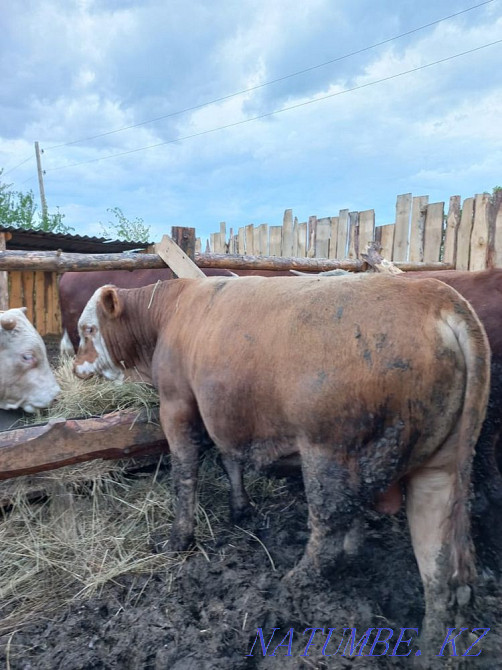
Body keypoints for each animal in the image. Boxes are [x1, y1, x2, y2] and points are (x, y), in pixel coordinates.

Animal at [72, 274, 490, 654]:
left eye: (88, 329)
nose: (75, 367)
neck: (171, 310)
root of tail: (433, 293)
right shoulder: (227, 414)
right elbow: (230, 458)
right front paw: (240, 509)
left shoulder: (177, 402)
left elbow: (184, 471)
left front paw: (179, 539)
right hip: (440, 471)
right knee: (439, 570)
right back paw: (430, 647)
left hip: (330, 453)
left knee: (328, 529)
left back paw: (291, 587)